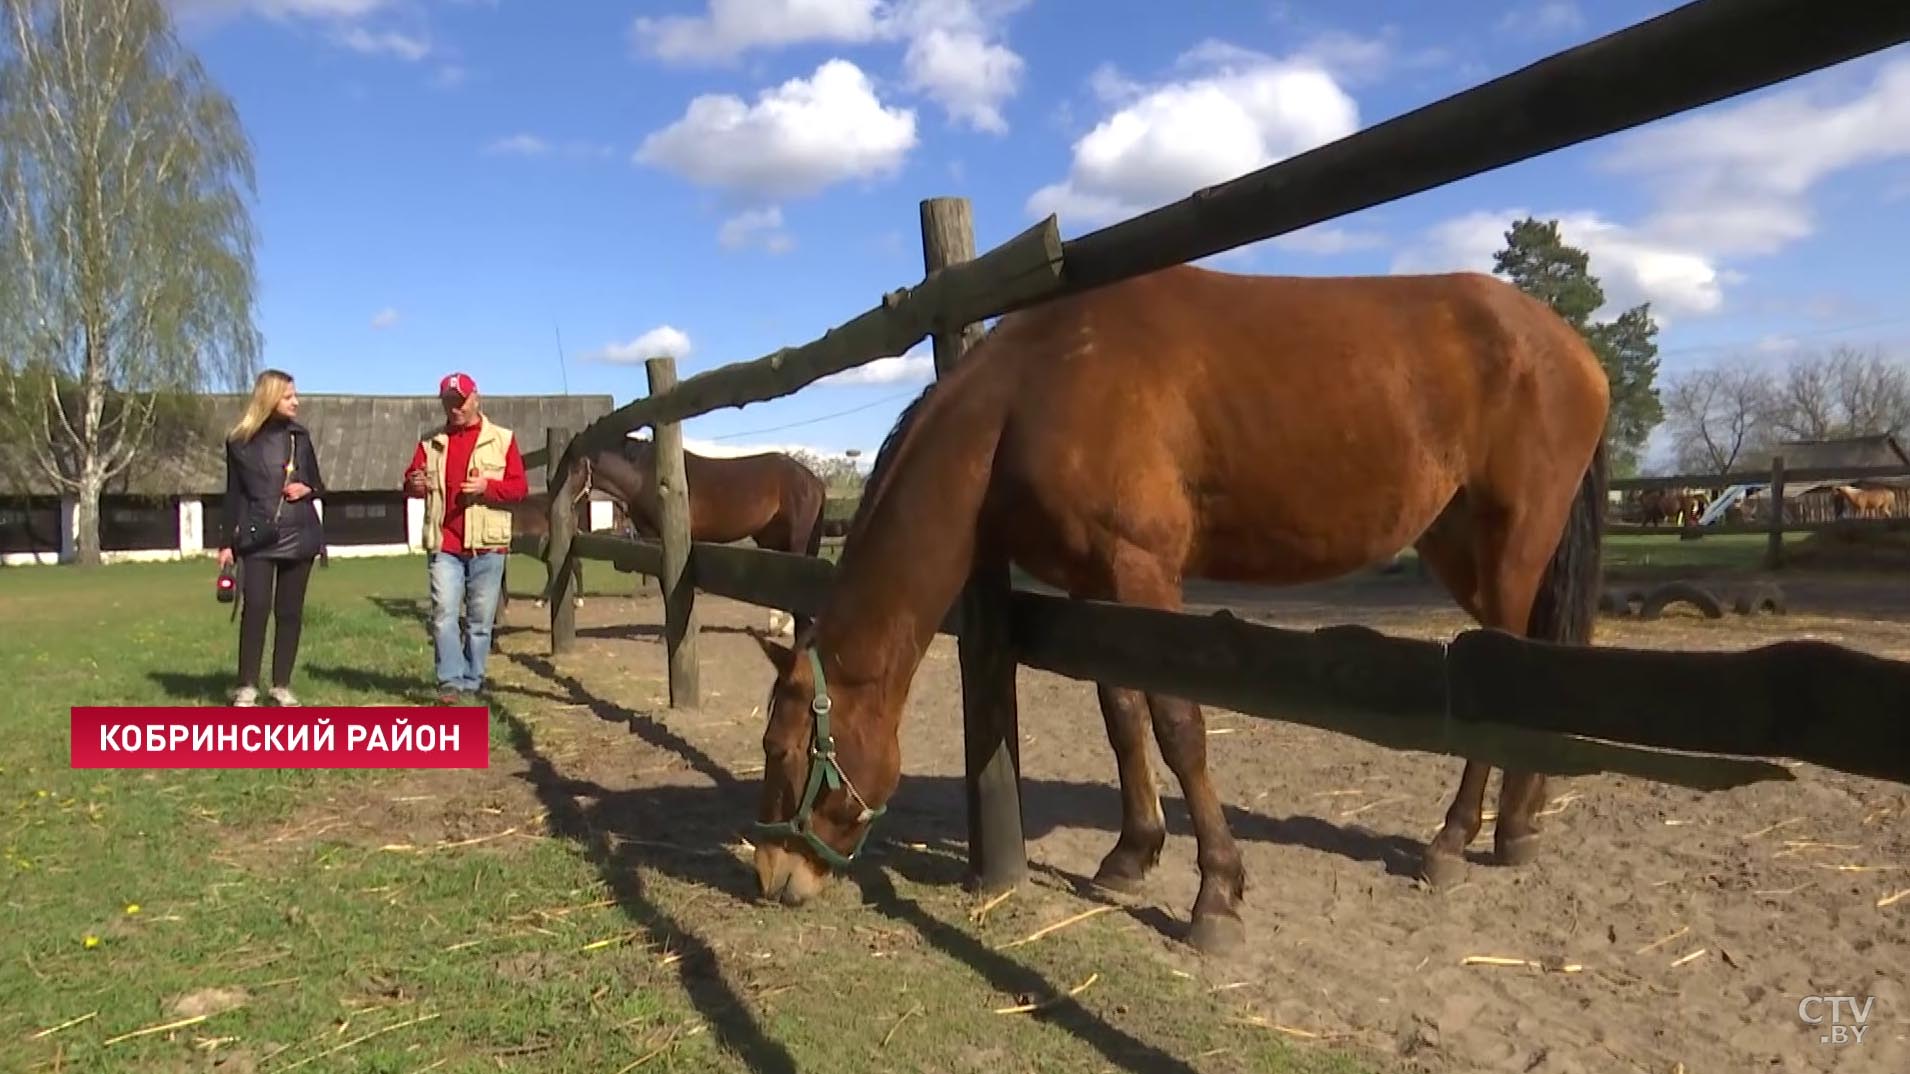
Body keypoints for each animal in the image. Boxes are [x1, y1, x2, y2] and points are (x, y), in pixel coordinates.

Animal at [546, 435, 828, 634]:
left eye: (573, 469)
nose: (555, 505)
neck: (647, 477)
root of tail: (813, 479)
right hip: (772, 538)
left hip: (797, 537)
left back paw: (788, 628)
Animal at [744, 265, 1612, 951]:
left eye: (781, 750)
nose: (773, 876)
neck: (1033, 392)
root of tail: (1570, 347)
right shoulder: (1095, 582)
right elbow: (1122, 714)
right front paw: (1132, 853)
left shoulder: (1144, 572)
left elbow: (1177, 724)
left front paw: (1216, 893)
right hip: (1458, 546)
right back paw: (1517, 825)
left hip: (1511, 548)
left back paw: (1454, 840)